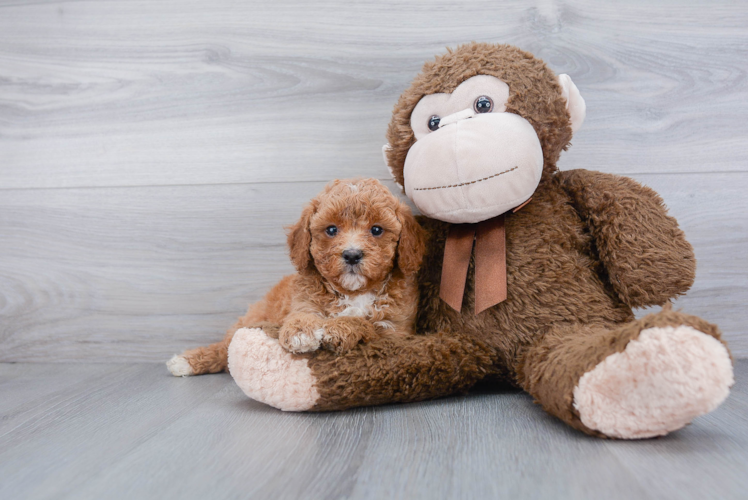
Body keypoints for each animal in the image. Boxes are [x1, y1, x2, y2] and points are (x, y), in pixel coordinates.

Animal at [169, 178, 426, 376]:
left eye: (376, 230)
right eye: (331, 230)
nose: (352, 255)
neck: (354, 292)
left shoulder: (395, 332)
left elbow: (367, 325)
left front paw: (341, 327)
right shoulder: (304, 301)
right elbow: (301, 315)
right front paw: (300, 333)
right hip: (253, 317)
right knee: (225, 346)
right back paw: (186, 361)